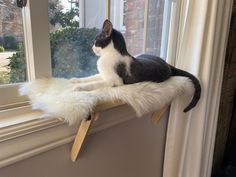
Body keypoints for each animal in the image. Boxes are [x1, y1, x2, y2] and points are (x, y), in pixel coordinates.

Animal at [72, 19, 201, 112]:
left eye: (96, 42)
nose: (92, 48)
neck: (109, 55)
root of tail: (168, 64)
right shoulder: (103, 74)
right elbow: (91, 77)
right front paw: (76, 80)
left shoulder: (116, 81)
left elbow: (95, 83)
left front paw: (79, 88)